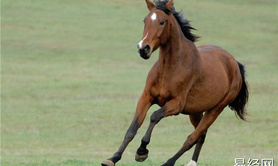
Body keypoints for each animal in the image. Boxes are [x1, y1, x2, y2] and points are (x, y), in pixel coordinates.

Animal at [101, 0, 249, 166]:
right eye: (145, 20)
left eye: (162, 22)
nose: (143, 49)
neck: (170, 68)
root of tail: (235, 64)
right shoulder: (146, 97)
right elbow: (132, 128)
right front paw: (112, 158)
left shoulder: (176, 104)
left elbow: (154, 116)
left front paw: (142, 151)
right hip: (196, 112)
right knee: (201, 135)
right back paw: (191, 162)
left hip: (215, 110)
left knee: (192, 138)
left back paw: (169, 162)